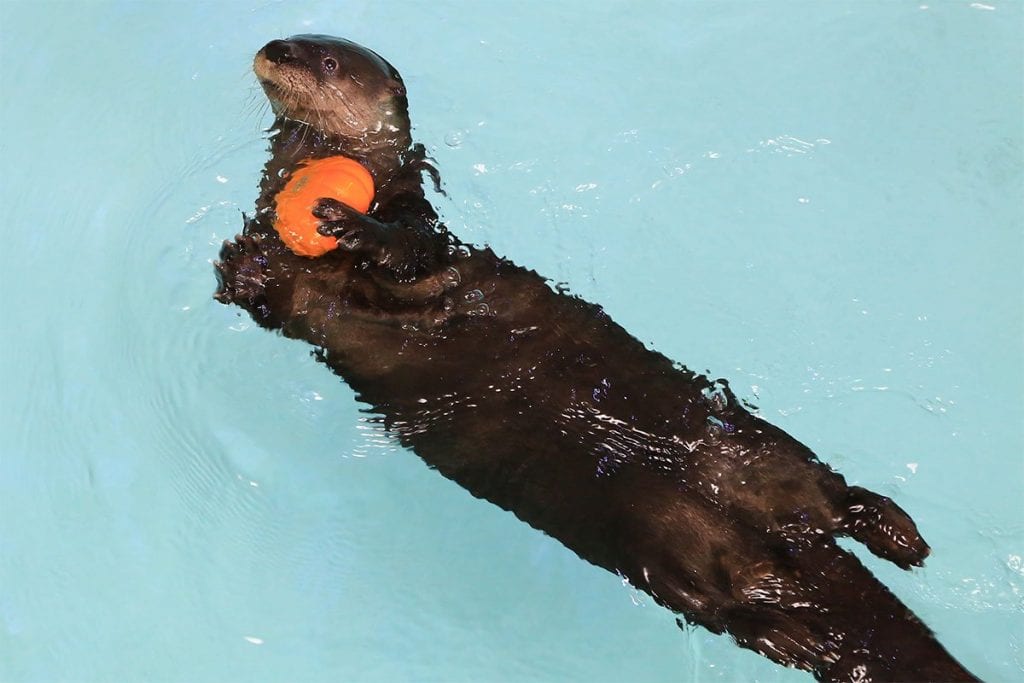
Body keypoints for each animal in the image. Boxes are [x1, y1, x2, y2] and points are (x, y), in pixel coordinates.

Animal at [214, 37, 974, 683]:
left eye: (326, 61)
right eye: (292, 41)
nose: (275, 49)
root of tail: (774, 544)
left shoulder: (425, 235)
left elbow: (414, 255)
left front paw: (351, 223)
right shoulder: (302, 303)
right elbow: (274, 301)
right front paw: (240, 264)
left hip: (746, 450)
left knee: (821, 491)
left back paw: (893, 534)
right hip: (659, 545)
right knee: (742, 595)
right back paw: (839, 590)